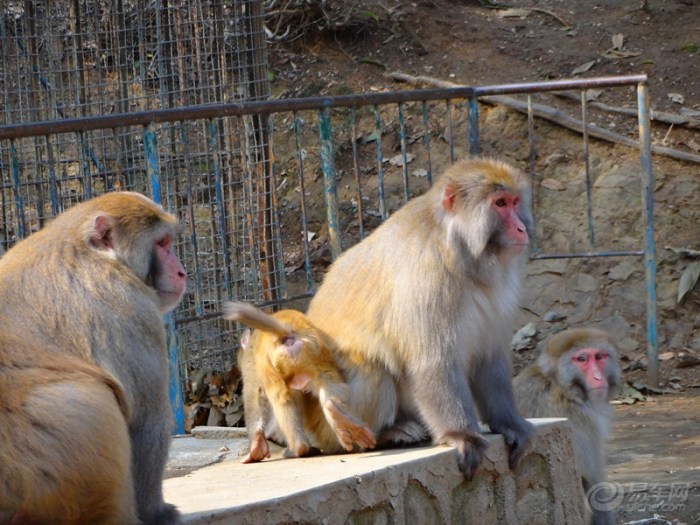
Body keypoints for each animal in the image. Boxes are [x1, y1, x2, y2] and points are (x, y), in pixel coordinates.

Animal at [0, 192, 186, 524]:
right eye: (163, 243)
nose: (181, 272)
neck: (87, 249)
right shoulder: (134, 310)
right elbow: (146, 421)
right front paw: (157, 513)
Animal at [306, 158, 536, 482]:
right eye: (500, 203)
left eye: (515, 202)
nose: (521, 228)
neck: (462, 253)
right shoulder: (428, 277)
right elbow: (432, 361)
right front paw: (461, 435)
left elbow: (489, 360)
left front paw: (510, 424)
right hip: (326, 425)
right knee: (372, 367)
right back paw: (385, 434)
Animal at [512, 328, 620, 524]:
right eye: (582, 359)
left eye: (599, 356)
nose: (598, 377)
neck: (562, 386)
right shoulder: (577, 418)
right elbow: (592, 483)